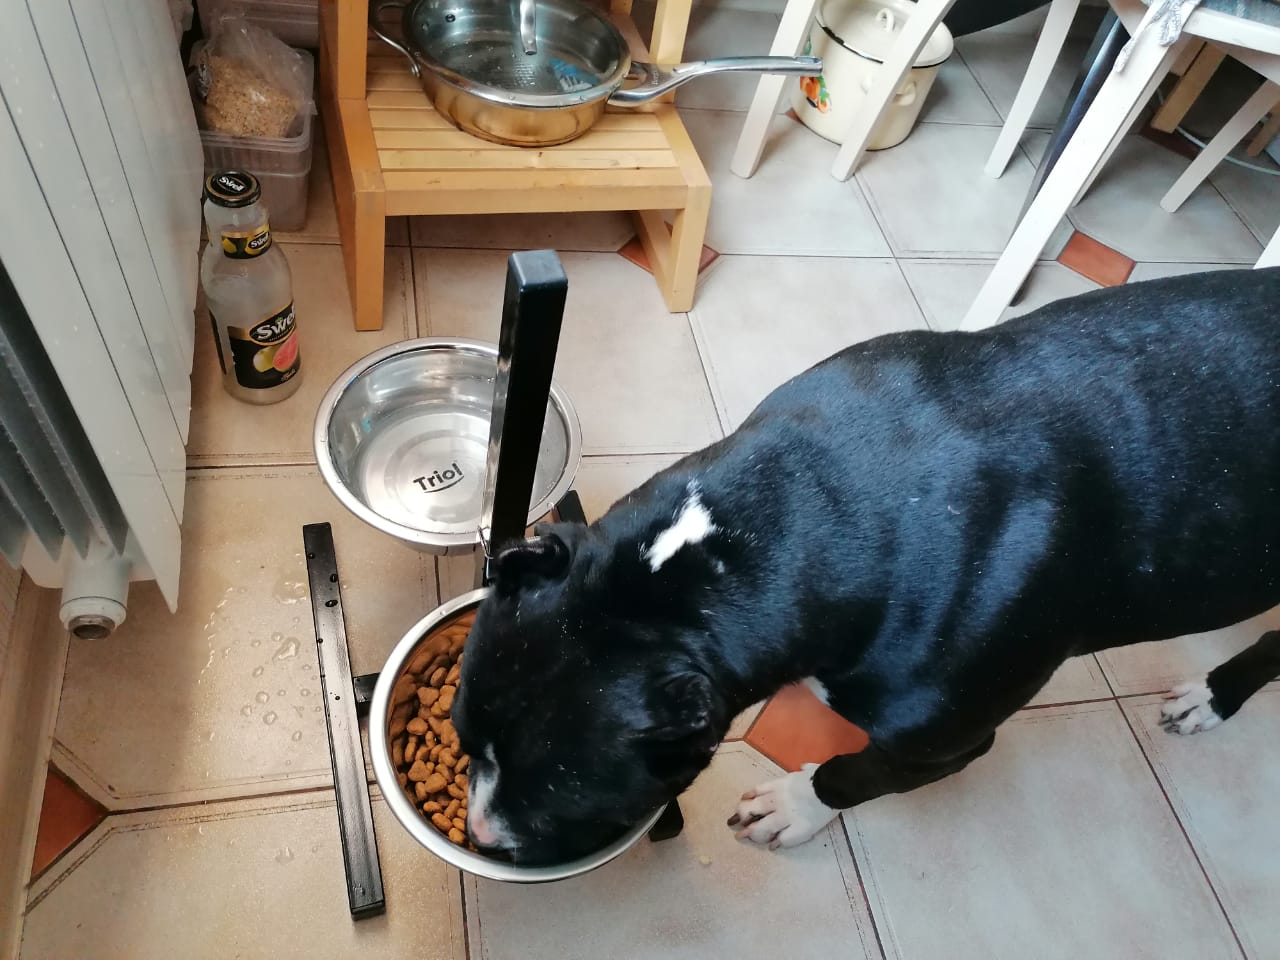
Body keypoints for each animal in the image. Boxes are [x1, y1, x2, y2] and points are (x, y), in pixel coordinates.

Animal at [452, 267, 1280, 865]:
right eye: (461, 736)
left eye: (565, 802)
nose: (483, 834)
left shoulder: (939, 743)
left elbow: (854, 773)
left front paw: (795, 807)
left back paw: (1214, 696)